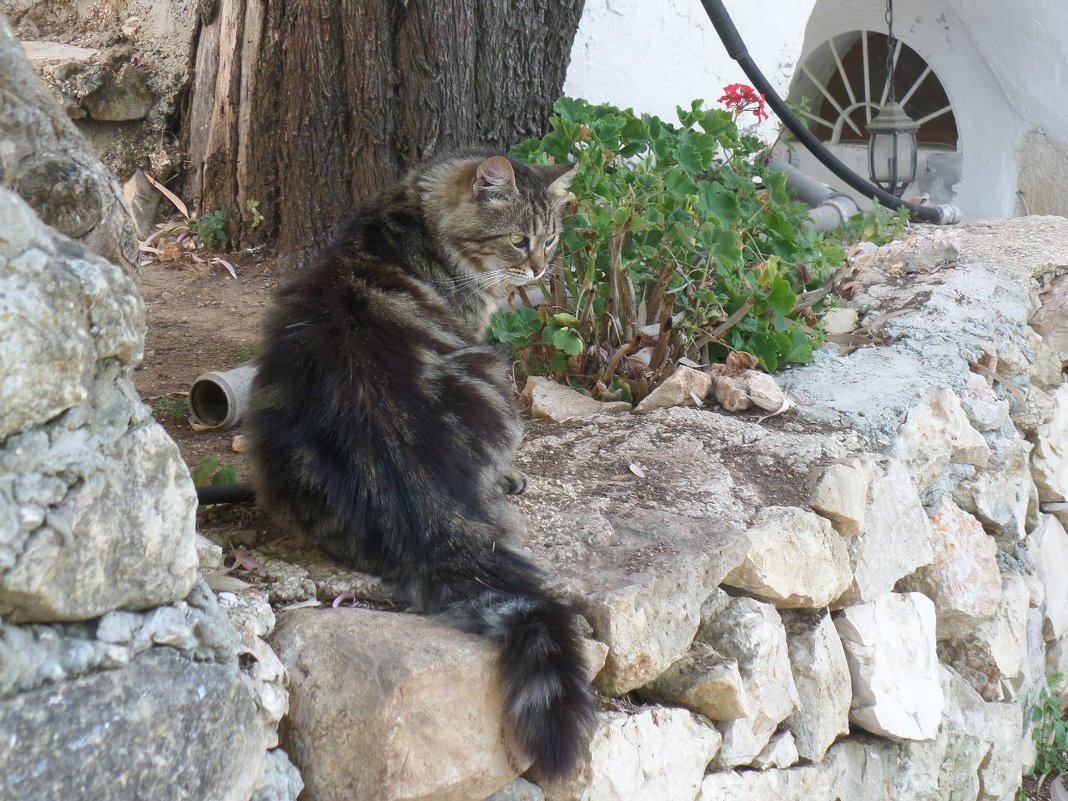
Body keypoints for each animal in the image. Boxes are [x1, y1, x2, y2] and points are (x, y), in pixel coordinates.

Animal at [246, 150, 598, 777]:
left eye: (551, 239)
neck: (408, 217)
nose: (538, 270)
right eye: (519, 241)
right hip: (494, 375)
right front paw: (513, 474)